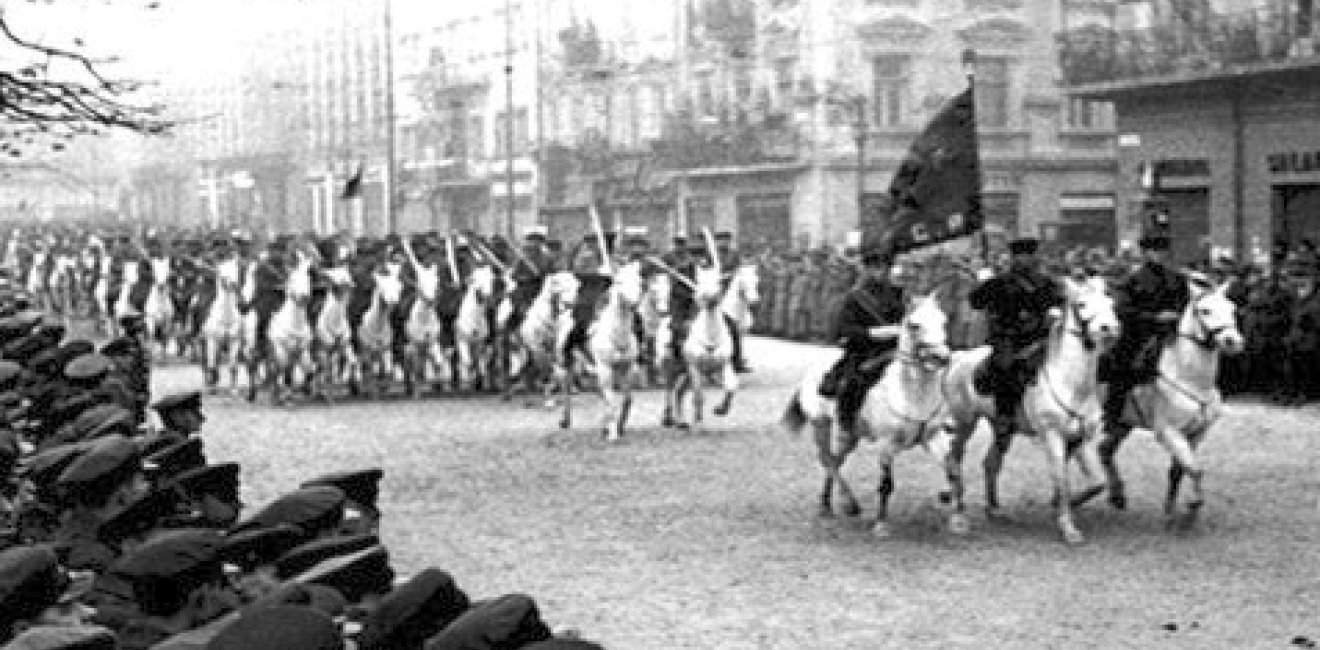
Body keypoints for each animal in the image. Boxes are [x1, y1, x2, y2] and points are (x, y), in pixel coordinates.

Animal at [200, 257, 245, 393]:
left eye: (236, 270)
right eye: (221, 272)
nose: (234, 284)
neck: (225, 318)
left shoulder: (234, 341)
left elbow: (233, 365)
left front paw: (234, 389)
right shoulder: (212, 341)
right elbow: (211, 365)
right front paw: (211, 387)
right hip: (203, 342)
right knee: (205, 363)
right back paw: (208, 384)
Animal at [665, 264, 739, 430]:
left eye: (718, 281)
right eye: (700, 281)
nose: (707, 295)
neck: (710, 336)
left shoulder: (724, 365)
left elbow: (731, 386)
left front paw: (721, 410)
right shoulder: (695, 367)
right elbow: (698, 396)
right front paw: (699, 424)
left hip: (686, 372)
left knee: (679, 391)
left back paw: (681, 422)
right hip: (674, 367)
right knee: (670, 388)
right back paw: (668, 419)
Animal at [776, 293, 955, 533]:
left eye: (943, 321)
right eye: (914, 325)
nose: (942, 357)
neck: (913, 396)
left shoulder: (934, 437)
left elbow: (951, 469)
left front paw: (951, 505)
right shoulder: (887, 445)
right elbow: (886, 484)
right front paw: (881, 525)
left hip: (850, 436)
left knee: (835, 460)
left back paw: (828, 505)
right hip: (821, 424)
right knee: (827, 459)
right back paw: (846, 504)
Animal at [945, 276, 1119, 546]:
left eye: (1110, 302)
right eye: (1081, 304)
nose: (1109, 328)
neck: (1071, 383)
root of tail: (959, 357)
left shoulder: (1082, 438)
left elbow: (1097, 482)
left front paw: (1064, 506)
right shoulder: (1052, 436)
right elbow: (1062, 479)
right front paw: (1068, 527)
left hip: (1002, 429)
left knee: (991, 463)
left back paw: (994, 510)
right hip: (964, 424)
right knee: (954, 459)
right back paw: (958, 517)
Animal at [1098, 274, 1240, 528]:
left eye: (1232, 308)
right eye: (1205, 310)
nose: (1233, 341)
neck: (1190, 379)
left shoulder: (1196, 433)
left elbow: (1180, 470)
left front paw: (1172, 511)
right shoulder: (1169, 432)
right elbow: (1194, 469)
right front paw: (1193, 504)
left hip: (1122, 424)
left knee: (1104, 450)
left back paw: (1117, 496)